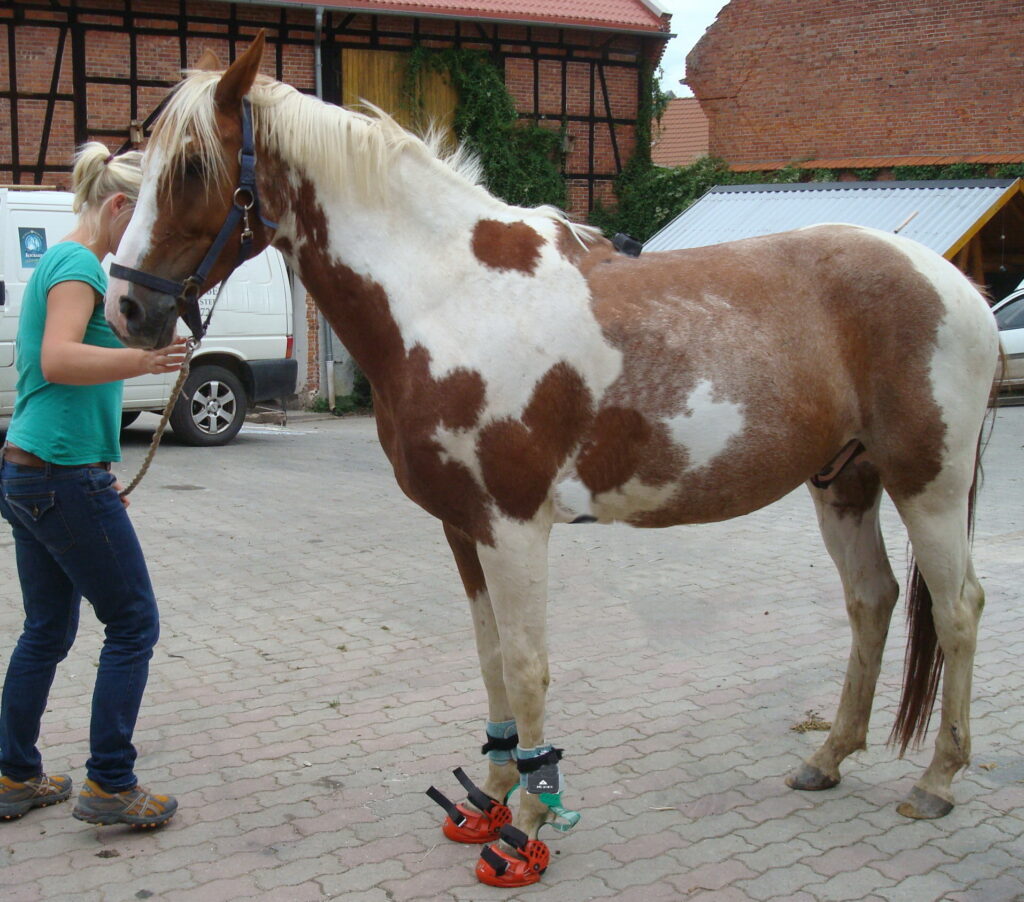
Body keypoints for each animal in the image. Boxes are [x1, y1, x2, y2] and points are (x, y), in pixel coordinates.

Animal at [104, 32, 1000, 888]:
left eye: (192, 166)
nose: (129, 307)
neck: (450, 295)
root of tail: (958, 286)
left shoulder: (513, 526)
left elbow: (528, 664)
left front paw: (531, 820)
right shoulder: (462, 527)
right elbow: (491, 656)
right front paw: (493, 797)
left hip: (928, 484)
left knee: (958, 608)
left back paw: (937, 781)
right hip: (844, 481)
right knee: (872, 602)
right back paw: (828, 758)